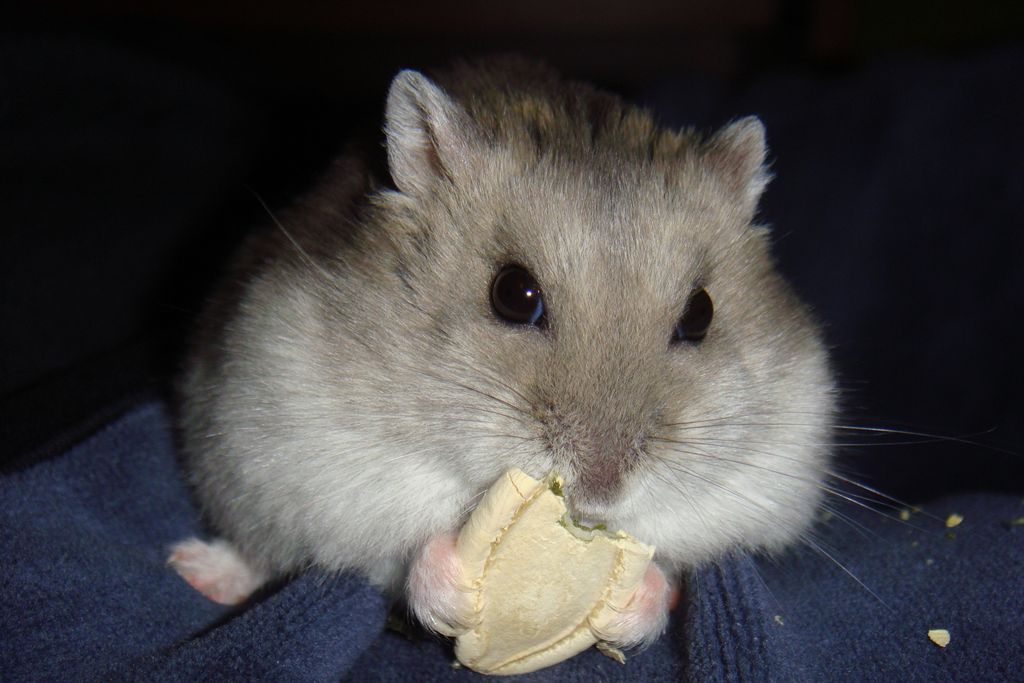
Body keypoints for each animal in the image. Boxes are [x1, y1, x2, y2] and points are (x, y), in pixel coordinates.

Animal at [168, 57, 835, 648]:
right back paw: (192, 569)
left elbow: (671, 567)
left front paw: (631, 605)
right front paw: (458, 589)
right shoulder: (317, 457)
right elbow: (395, 553)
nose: (598, 495)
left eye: (700, 315)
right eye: (514, 294)